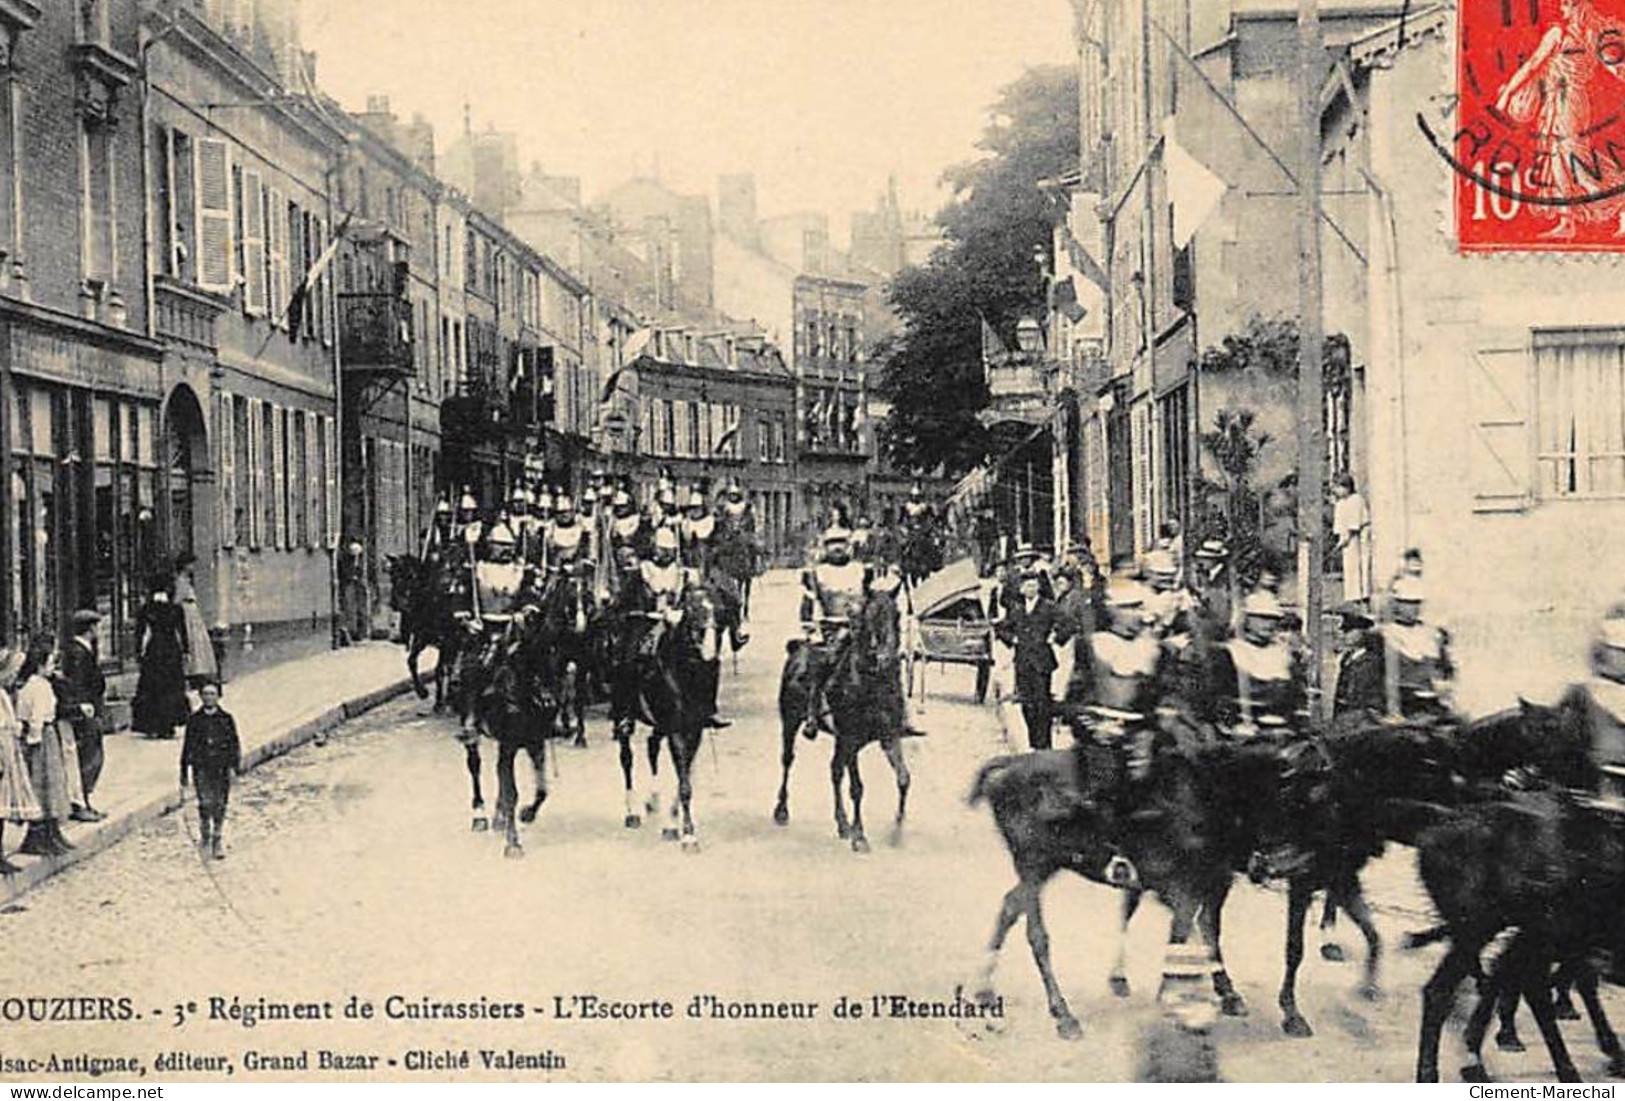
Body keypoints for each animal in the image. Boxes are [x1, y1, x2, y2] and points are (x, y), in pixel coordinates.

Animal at [773, 587, 916, 850]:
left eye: (897, 614)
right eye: (869, 617)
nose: (887, 657)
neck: (871, 684)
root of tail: (798, 648)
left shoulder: (887, 736)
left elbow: (903, 778)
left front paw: (896, 831)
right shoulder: (850, 737)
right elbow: (857, 788)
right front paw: (859, 836)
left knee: (836, 770)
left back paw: (842, 824)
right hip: (790, 721)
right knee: (788, 760)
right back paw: (782, 810)